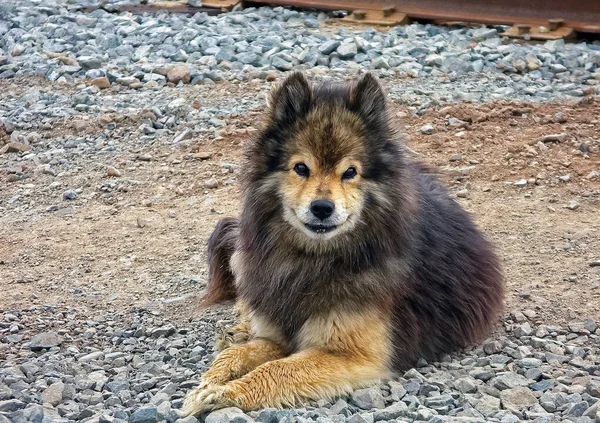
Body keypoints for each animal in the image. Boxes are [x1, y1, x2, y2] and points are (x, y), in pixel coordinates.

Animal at [180, 71, 504, 416]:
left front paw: (223, 392)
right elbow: (234, 357)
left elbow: (276, 369)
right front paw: (207, 384)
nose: (322, 208)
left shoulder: (352, 355)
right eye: (301, 168)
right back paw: (238, 329)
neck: (312, 260)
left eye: (350, 172)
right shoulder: (275, 330)